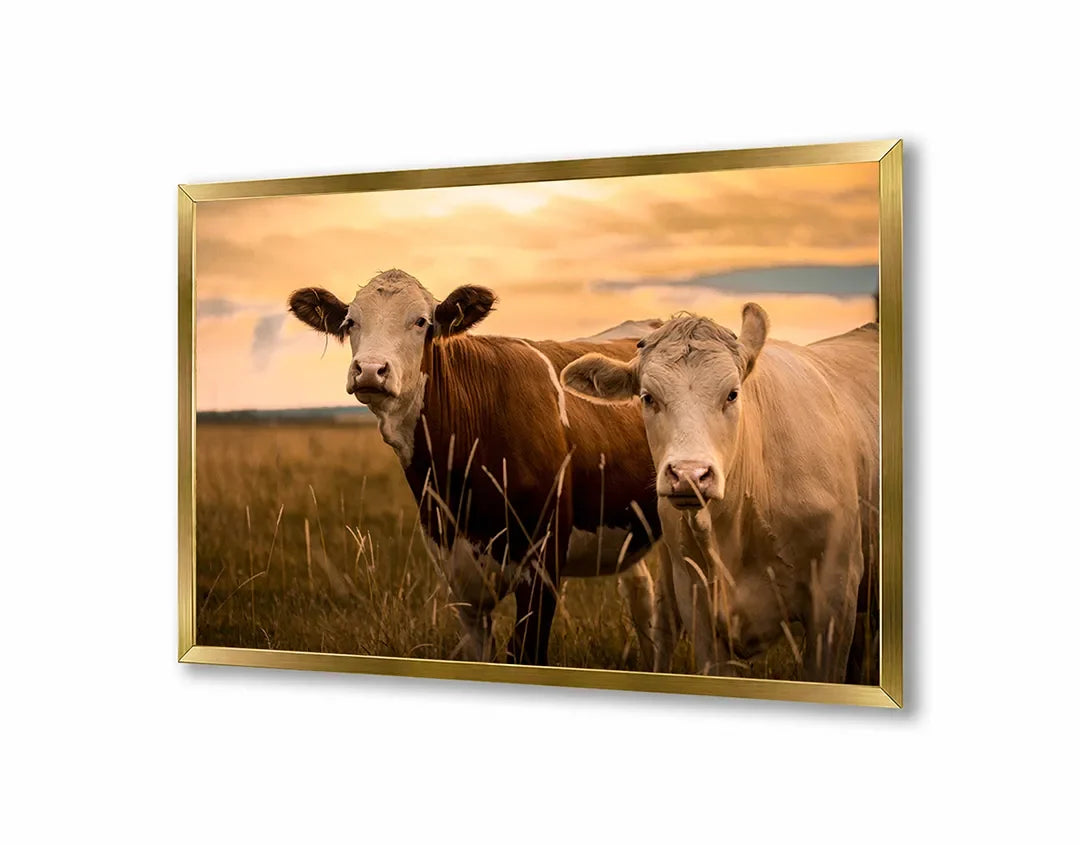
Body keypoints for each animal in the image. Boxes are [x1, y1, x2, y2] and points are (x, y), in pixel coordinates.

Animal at [287, 269, 670, 667]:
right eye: (350, 322)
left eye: (421, 321)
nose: (370, 370)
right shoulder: (457, 574)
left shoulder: (542, 565)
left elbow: (526, 652)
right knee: (642, 595)